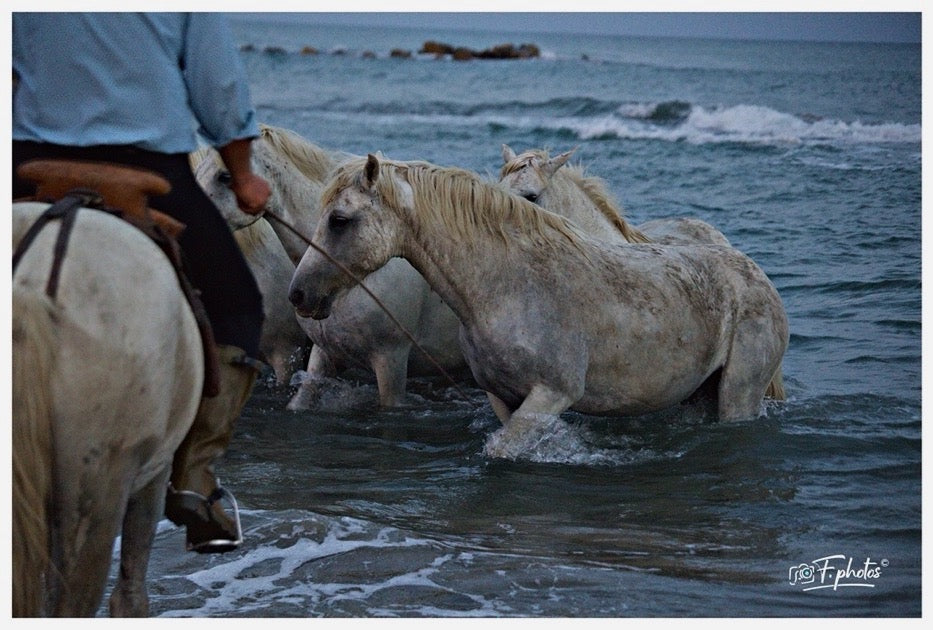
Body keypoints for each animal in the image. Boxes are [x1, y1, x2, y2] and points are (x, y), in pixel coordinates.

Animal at [290, 157, 788, 462]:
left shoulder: (552, 393)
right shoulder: (503, 397)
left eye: (339, 220)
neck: (508, 283)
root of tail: (758, 276)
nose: (298, 295)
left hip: (739, 394)